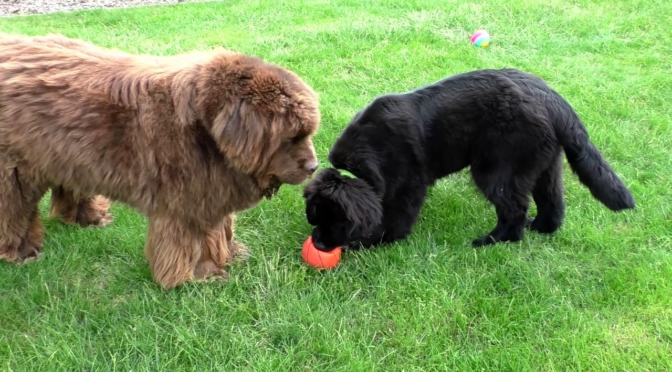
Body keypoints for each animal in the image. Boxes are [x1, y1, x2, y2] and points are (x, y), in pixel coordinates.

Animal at [0, 34, 320, 288]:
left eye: (306, 133)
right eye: (292, 137)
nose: (313, 167)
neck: (208, 132)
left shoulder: (211, 191)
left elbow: (219, 231)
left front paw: (229, 255)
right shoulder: (185, 201)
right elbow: (192, 242)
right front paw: (199, 276)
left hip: (69, 154)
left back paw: (89, 218)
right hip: (15, 170)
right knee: (14, 210)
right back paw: (22, 252)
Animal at [304, 68, 636, 251]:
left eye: (335, 220)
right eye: (315, 217)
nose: (318, 244)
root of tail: (552, 97)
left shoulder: (408, 185)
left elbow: (396, 218)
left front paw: (374, 241)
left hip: (497, 169)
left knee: (514, 209)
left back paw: (492, 241)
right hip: (543, 163)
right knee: (552, 201)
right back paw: (539, 229)